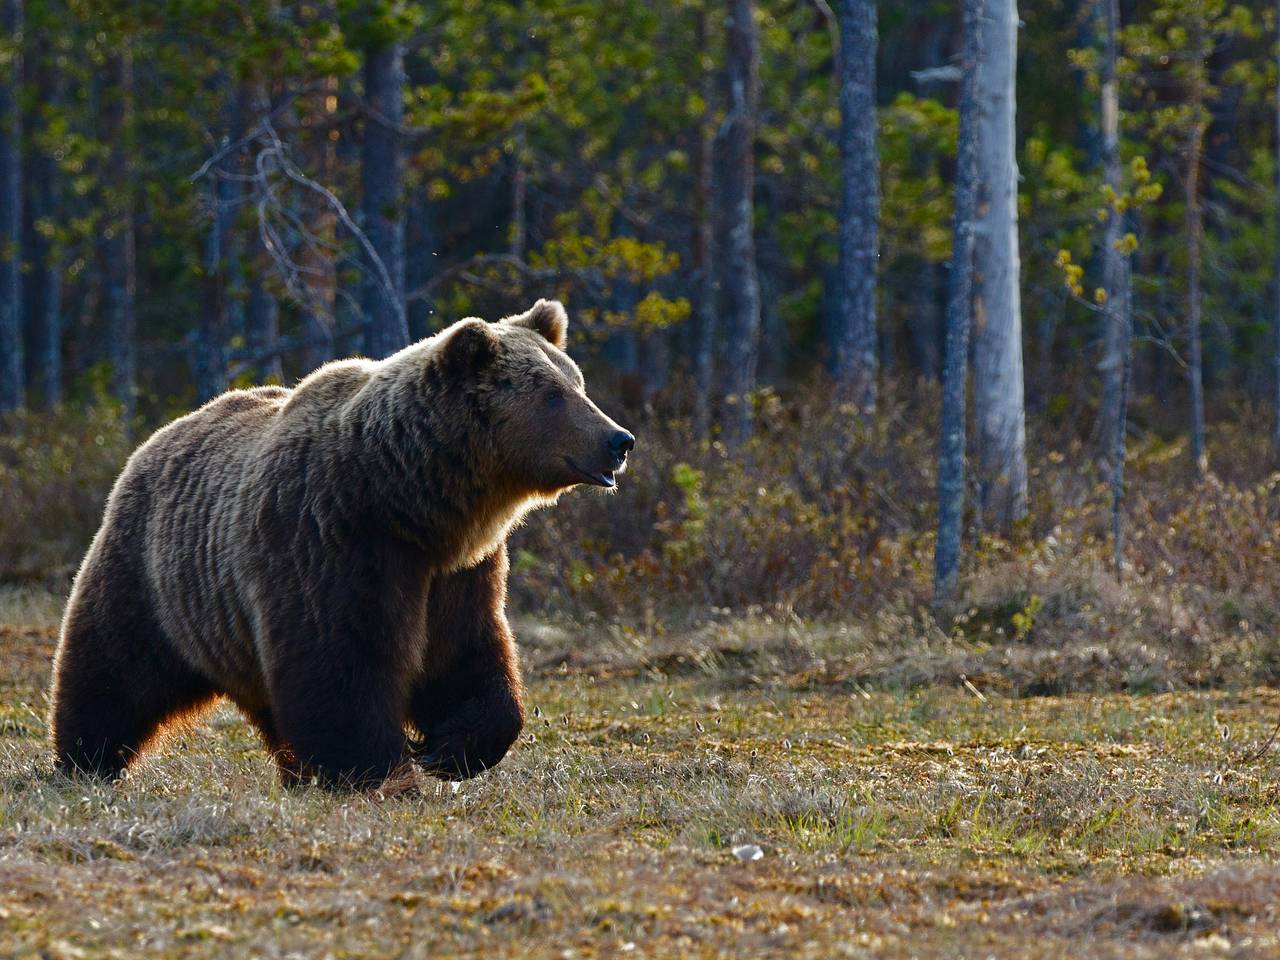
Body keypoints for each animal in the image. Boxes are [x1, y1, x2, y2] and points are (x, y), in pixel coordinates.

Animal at [48, 300, 633, 789]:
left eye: (577, 382)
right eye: (552, 394)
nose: (619, 439)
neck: (408, 501)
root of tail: (158, 437)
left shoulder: (458, 571)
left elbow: (466, 654)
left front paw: (448, 748)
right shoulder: (331, 540)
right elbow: (341, 661)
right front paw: (378, 768)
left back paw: (294, 772)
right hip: (155, 574)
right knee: (113, 667)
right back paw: (85, 760)